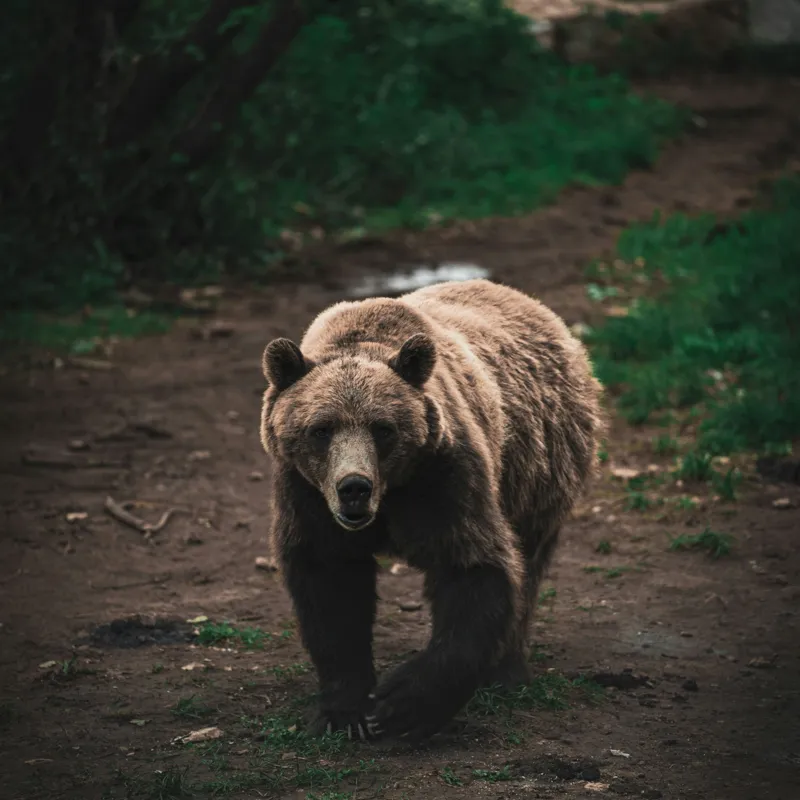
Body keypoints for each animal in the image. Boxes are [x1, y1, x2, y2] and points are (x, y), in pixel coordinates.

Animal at [259, 279, 603, 742]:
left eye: (382, 428)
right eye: (321, 429)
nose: (354, 488)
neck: (391, 496)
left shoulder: (444, 478)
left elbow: (474, 566)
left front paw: (402, 704)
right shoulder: (307, 495)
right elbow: (331, 591)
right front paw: (345, 712)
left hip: (539, 468)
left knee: (527, 565)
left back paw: (506, 670)